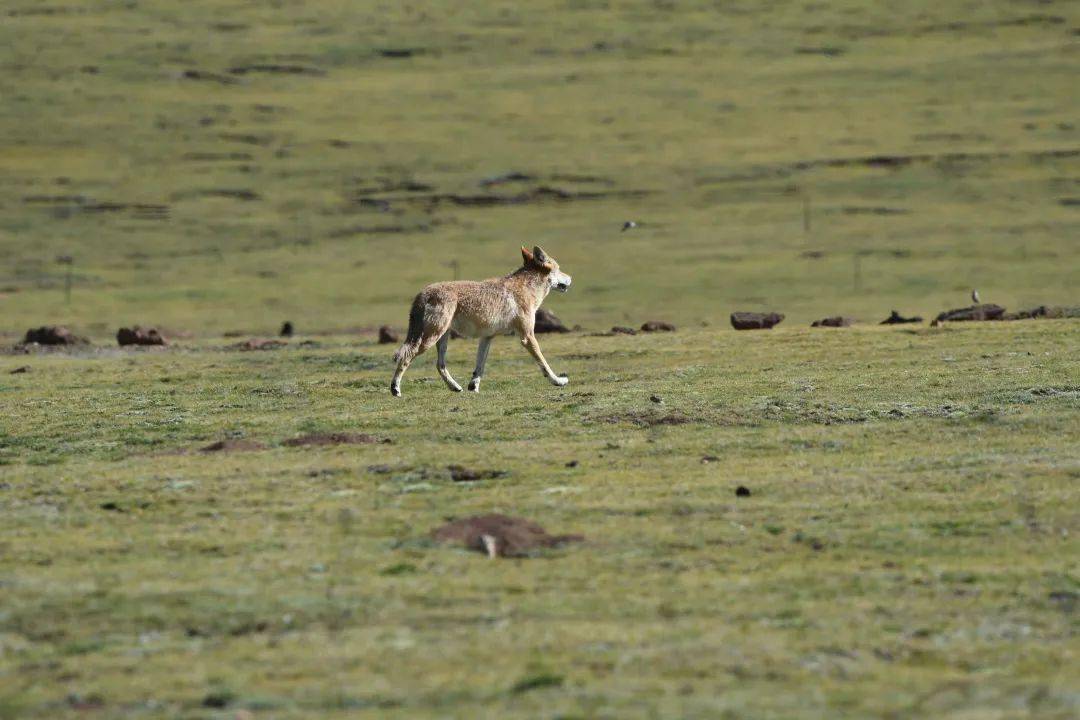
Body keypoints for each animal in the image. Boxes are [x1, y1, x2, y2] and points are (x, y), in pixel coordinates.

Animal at [390, 245, 574, 397]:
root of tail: (422, 294)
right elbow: (544, 364)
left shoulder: (487, 337)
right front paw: (558, 381)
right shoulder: (527, 336)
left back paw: (455, 387)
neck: (528, 288)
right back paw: (395, 389)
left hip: (442, 338)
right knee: (406, 356)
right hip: (430, 339)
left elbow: (479, 368)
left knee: (439, 364)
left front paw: (473, 387)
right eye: (559, 269)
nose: (571, 277)